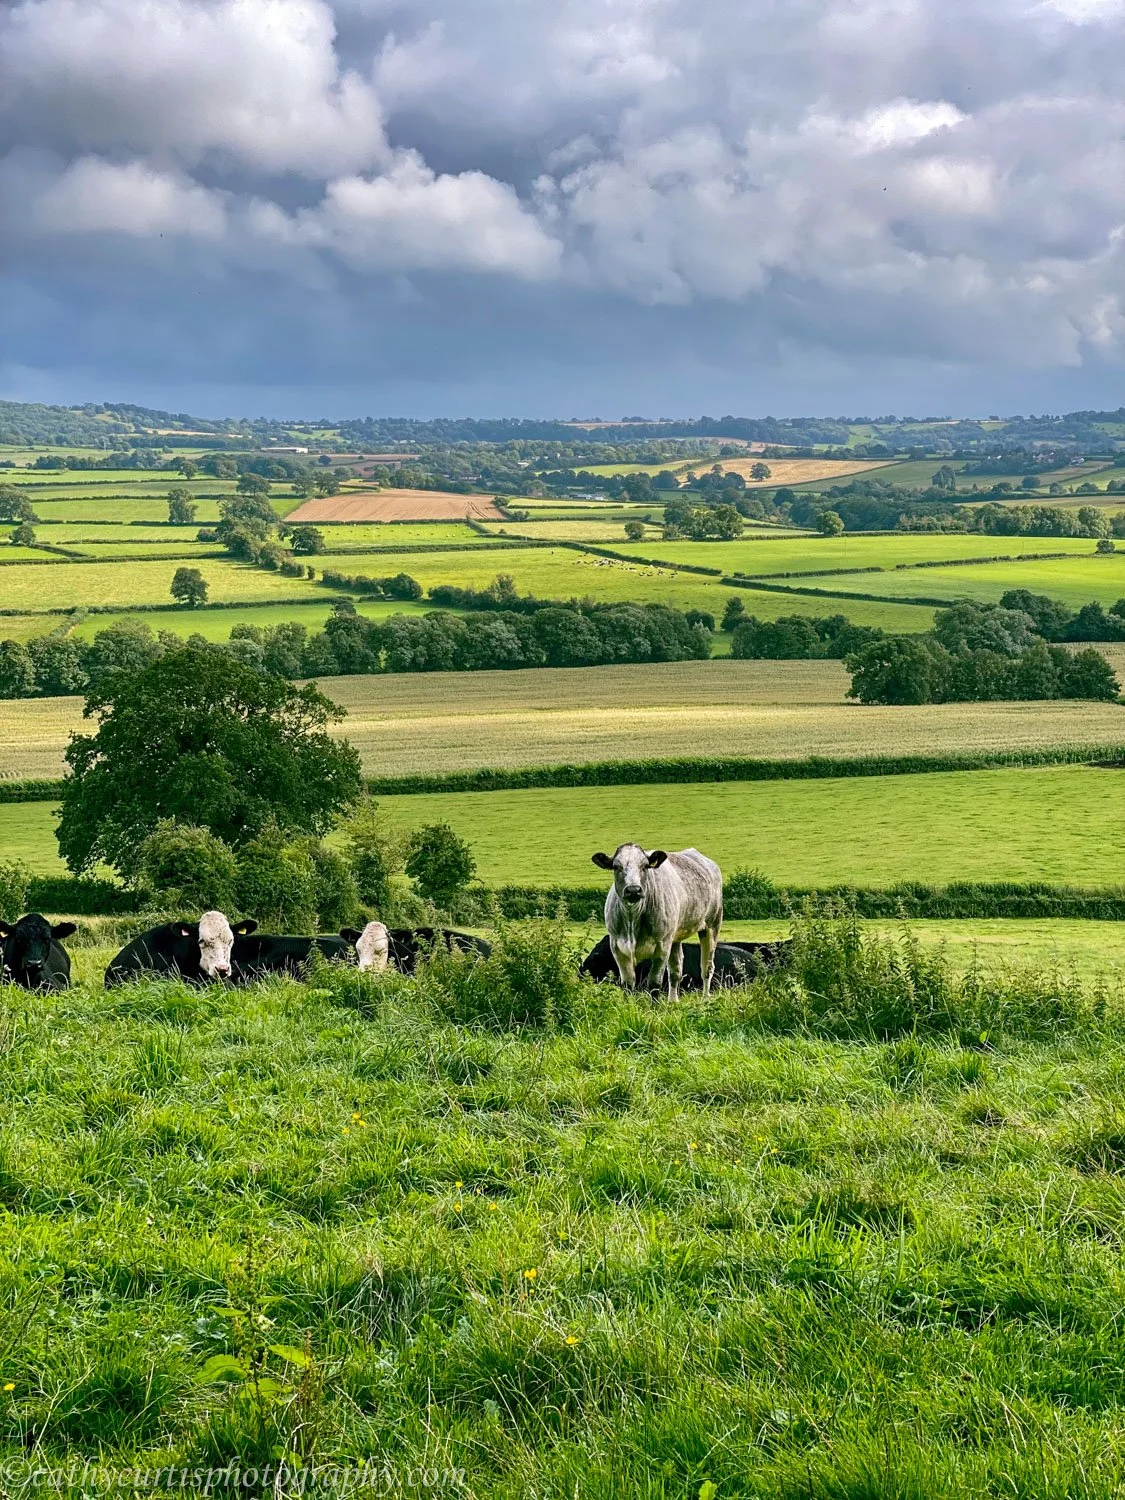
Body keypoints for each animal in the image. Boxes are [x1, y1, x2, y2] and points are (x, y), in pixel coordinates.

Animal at [591, 843, 723, 1000]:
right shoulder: (617, 947)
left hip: (712, 925)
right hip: (675, 935)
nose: (633, 890)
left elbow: (654, 983)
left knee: (707, 968)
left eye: (645, 866)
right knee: (676, 971)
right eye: (616, 866)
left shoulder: (662, 946)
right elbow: (628, 984)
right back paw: (673, 1001)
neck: (632, 918)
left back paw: (705, 999)